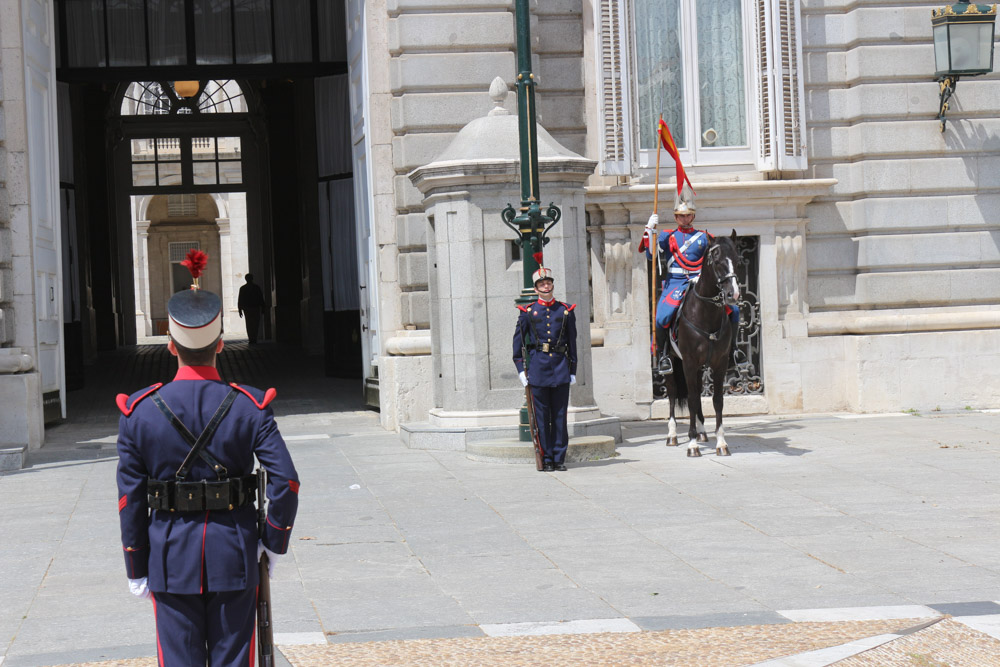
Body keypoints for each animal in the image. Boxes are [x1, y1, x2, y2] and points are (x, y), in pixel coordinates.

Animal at [664, 232, 744, 456]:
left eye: (737, 261)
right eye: (717, 261)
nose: (733, 295)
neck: (706, 314)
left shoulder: (719, 363)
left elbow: (716, 400)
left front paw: (721, 443)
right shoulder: (689, 363)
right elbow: (691, 399)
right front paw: (692, 444)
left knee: (699, 392)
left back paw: (701, 431)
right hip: (673, 363)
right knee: (673, 392)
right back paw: (673, 434)